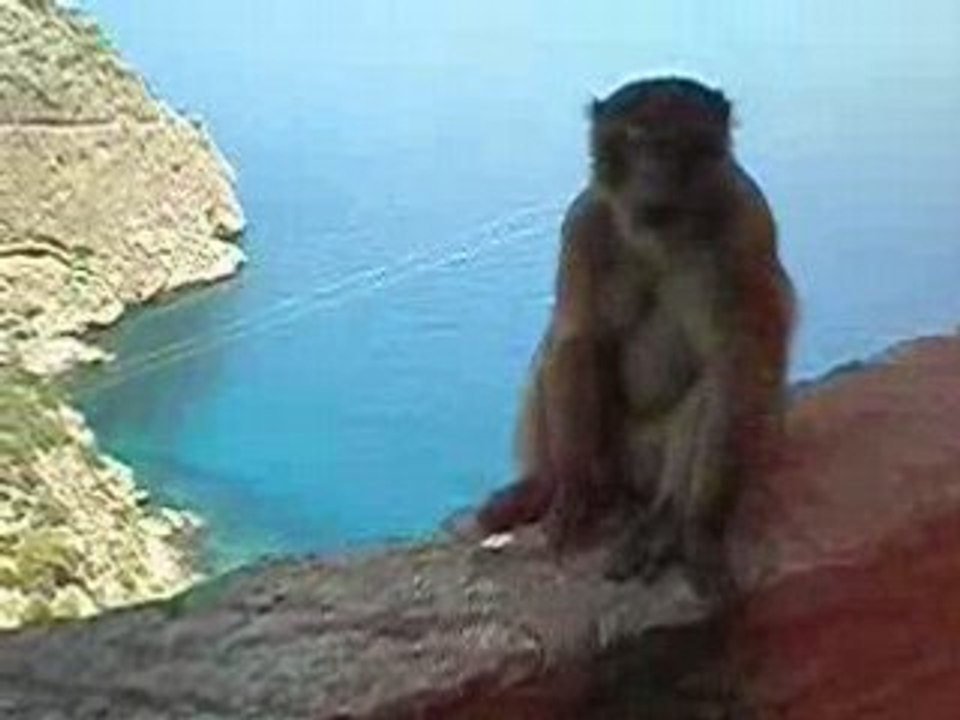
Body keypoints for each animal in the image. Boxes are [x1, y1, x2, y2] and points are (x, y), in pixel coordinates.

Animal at [475, 76, 795, 595]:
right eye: (637, 140)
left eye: (674, 142)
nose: (654, 172)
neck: (661, 234)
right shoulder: (583, 223)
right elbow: (579, 337)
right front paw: (572, 492)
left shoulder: (747, 222)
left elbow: (739, 360)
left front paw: (699, 528)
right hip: (613, 451)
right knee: (560, 351)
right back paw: (549, 485)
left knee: (717, 390)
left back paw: (667, 519)